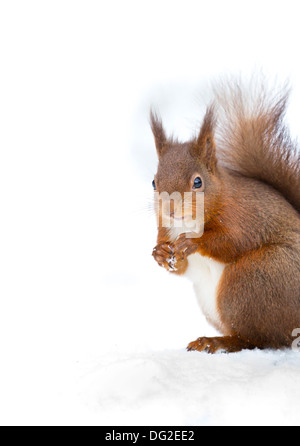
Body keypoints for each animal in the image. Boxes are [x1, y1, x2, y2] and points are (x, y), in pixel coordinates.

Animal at [151, 79, 300, 352]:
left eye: (197, 182)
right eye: (154, 182)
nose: (170, 209)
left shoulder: (243, 217)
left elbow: (232, 242)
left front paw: (195, 242)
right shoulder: (165, 229)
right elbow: (181, 268)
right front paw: (161, 253)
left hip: (253, 279)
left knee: (262, 339)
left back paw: (218, 342)